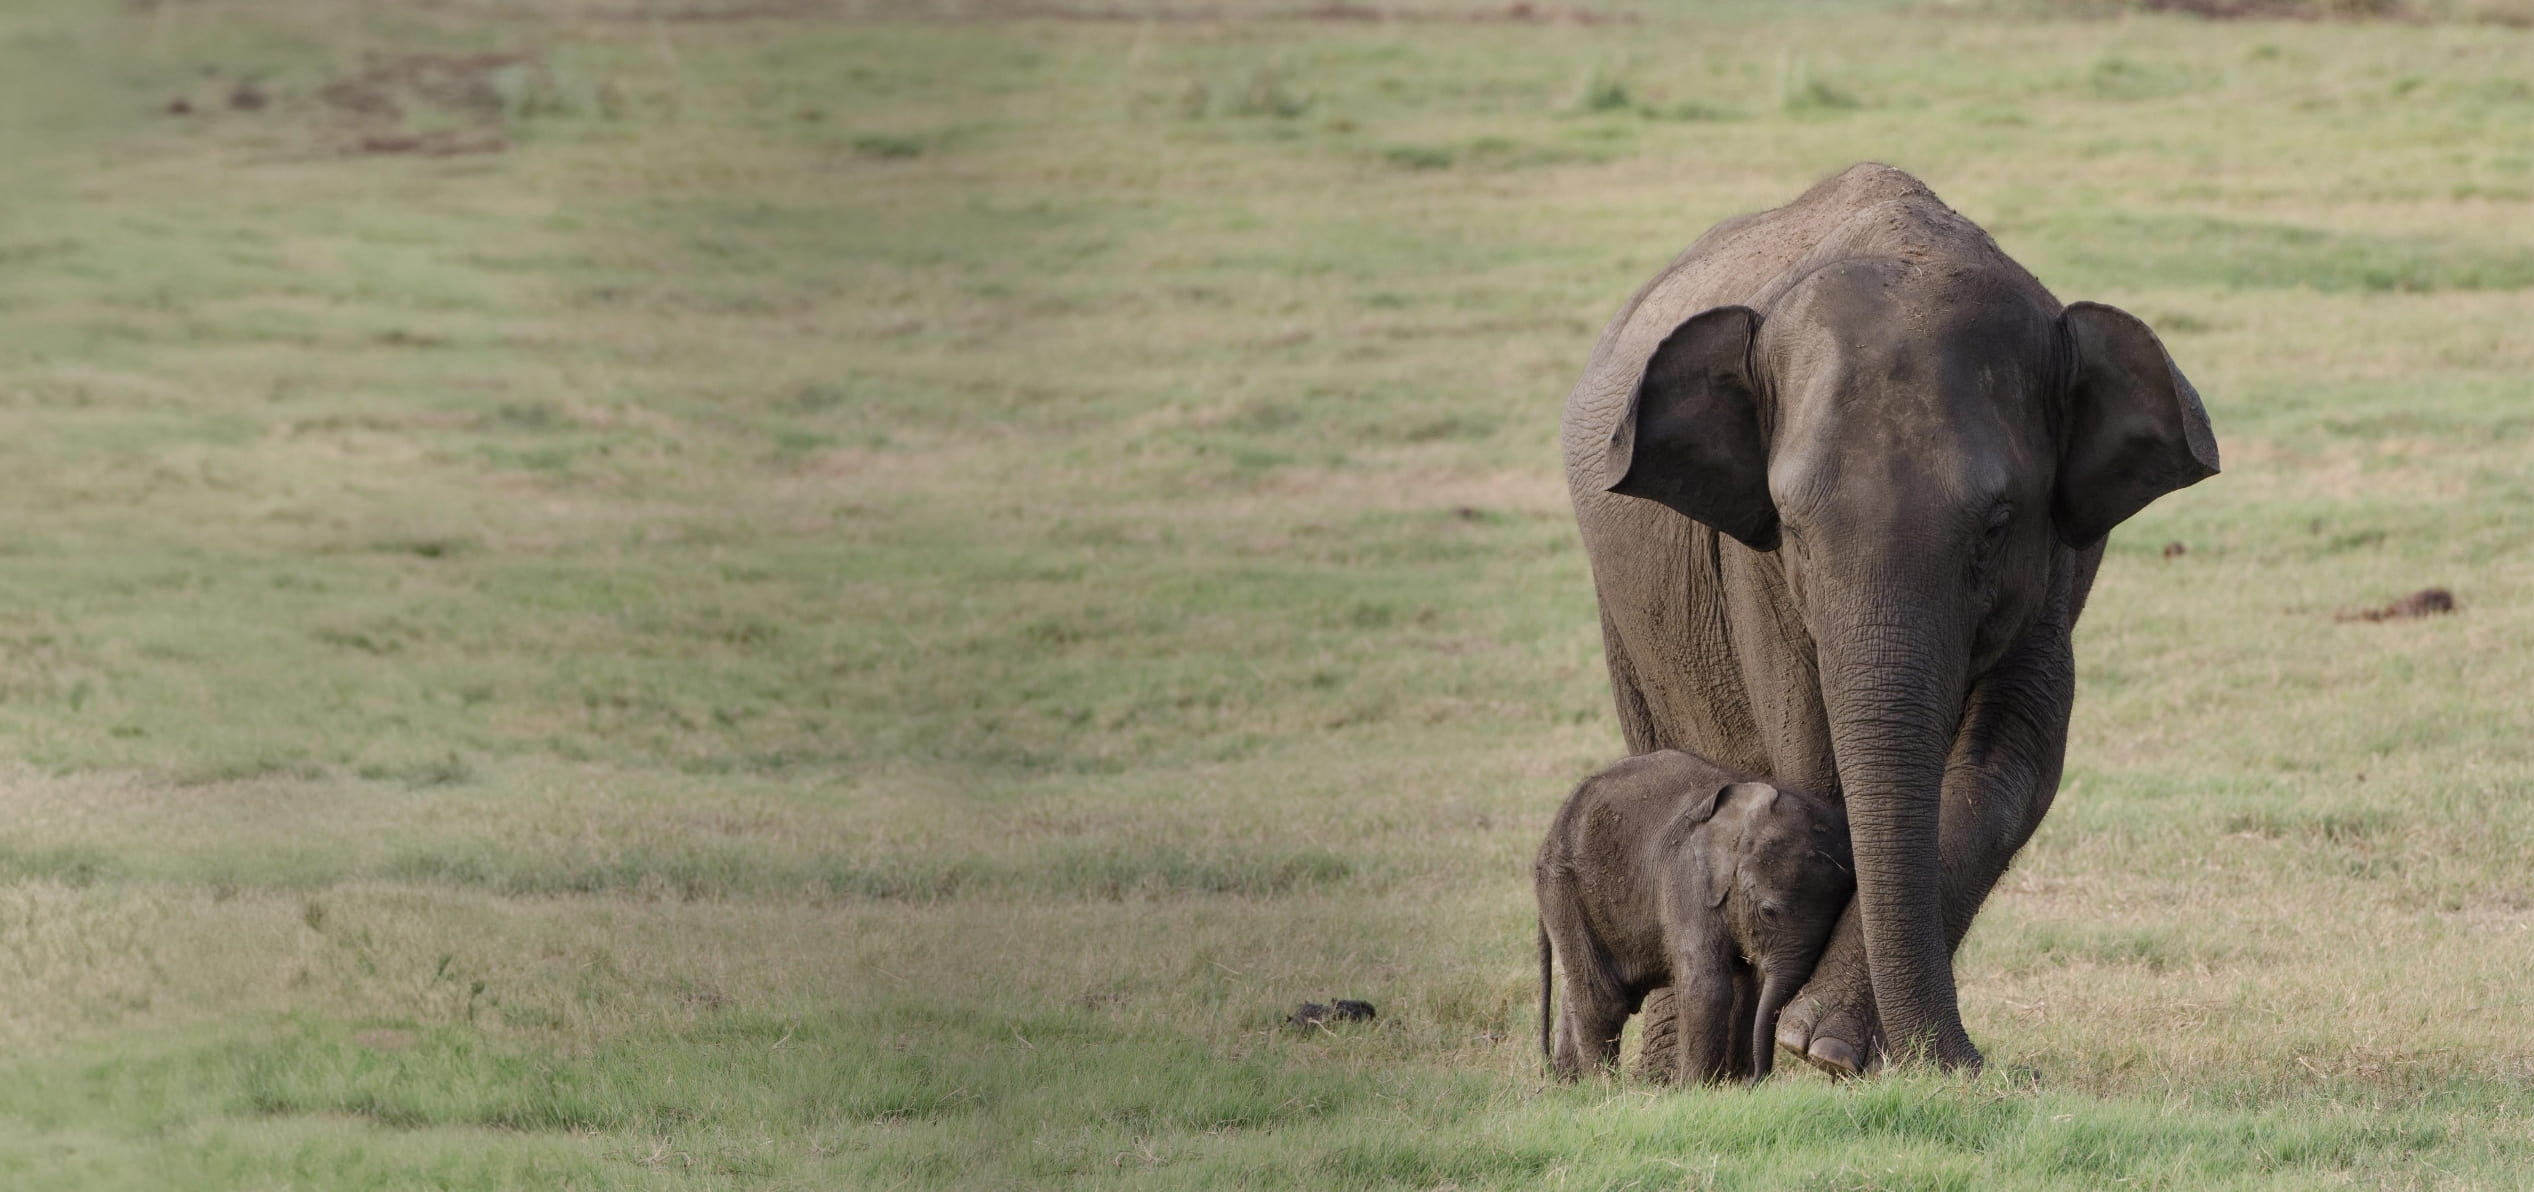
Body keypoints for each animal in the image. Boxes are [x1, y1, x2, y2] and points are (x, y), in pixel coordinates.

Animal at [1536, 750, 1853, 1084]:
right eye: (1768, 912)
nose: (1756, 1080)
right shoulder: (1686, 879)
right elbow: (1706, 985)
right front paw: (1695, 1087)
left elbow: (1748, 985)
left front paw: (1730, 1084)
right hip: (1562, 885)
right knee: (1599, 997)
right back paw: (1603, 1083)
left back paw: (1570, 1084)